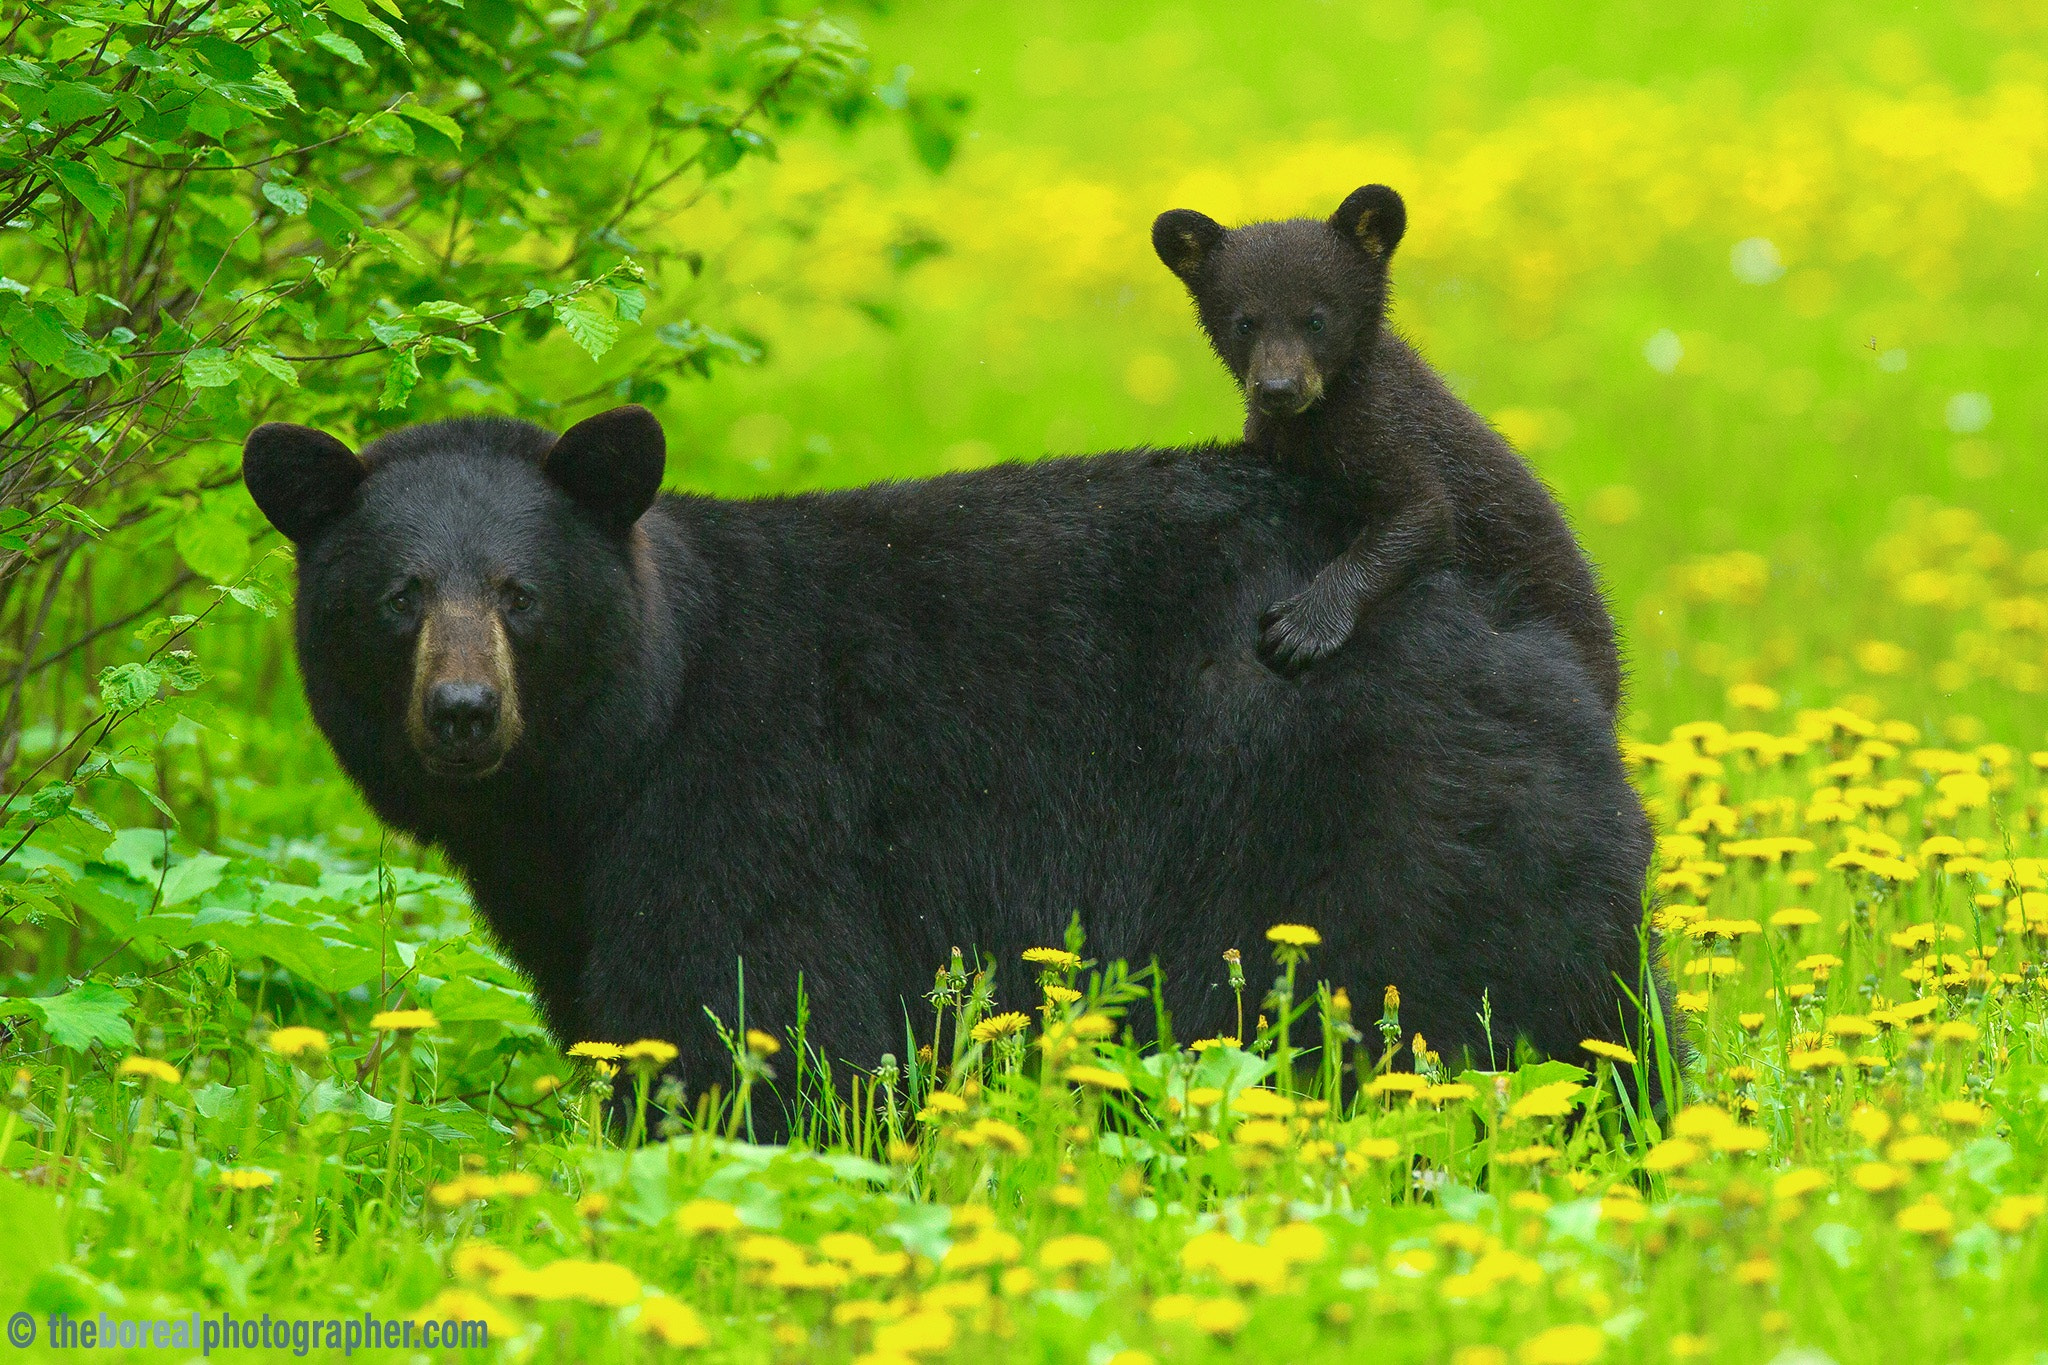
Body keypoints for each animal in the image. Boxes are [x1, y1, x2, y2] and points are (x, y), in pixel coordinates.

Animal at [247, 403, 1654, 1121]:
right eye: (397, 596)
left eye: (519, 594)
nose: (464, 710)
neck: (623, 745)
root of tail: (1529, 594)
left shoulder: (753, 797)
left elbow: (754, 1014)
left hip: (1399, 812)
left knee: (1496, 1003)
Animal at [1155, 184, 1613, 703]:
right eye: (1245, 323)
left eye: (1316, 320)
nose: (1278, 388)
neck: (1318, 417)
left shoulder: (1391, 428)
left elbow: (1423, 513)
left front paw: (1300, 628)